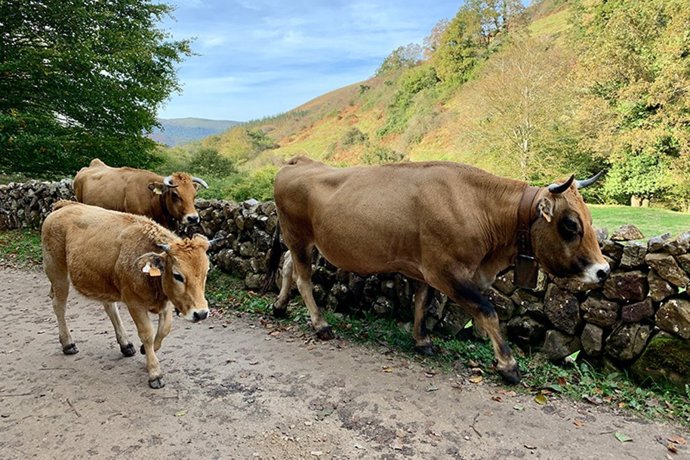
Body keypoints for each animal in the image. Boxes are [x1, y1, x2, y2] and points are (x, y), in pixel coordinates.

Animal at [41, 200, 212, 388]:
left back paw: (125, 344)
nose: (201, 313)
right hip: (57, 272)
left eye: (206, 272)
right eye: (177, 275)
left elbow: (164, 329)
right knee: (59, 305)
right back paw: (68, 343)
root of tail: (65, 205)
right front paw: (154, 373)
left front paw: (147, 350)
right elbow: (147, 333)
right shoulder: (134, 303)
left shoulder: (166, 302)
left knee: (110, 307)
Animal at [265, 156, 609, 383]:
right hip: (298, 236)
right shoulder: (448, 272)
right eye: (570, 225)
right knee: (303, 277)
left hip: (302, 241)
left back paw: (279, 307)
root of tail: (300, 161)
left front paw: (422, 341)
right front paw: (508, 365)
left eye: (590, 219)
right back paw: (320, 324)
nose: (603, 270)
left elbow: (422, 302)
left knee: (287, 266)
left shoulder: (427, 269)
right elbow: (488, 312)